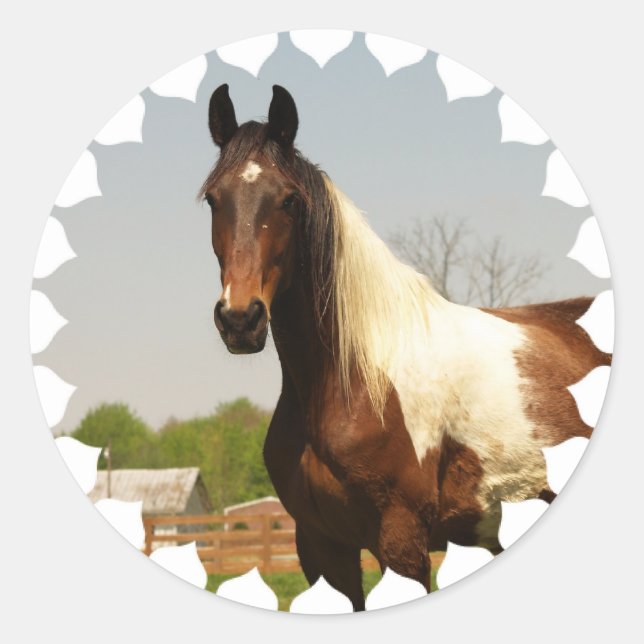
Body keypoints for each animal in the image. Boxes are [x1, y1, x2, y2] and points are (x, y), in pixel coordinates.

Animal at [199, 84, 611, 610]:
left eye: (289, 199)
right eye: (214, 199)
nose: (240, 319)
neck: (354, 380)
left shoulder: (402, 542)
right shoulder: (321, 548)